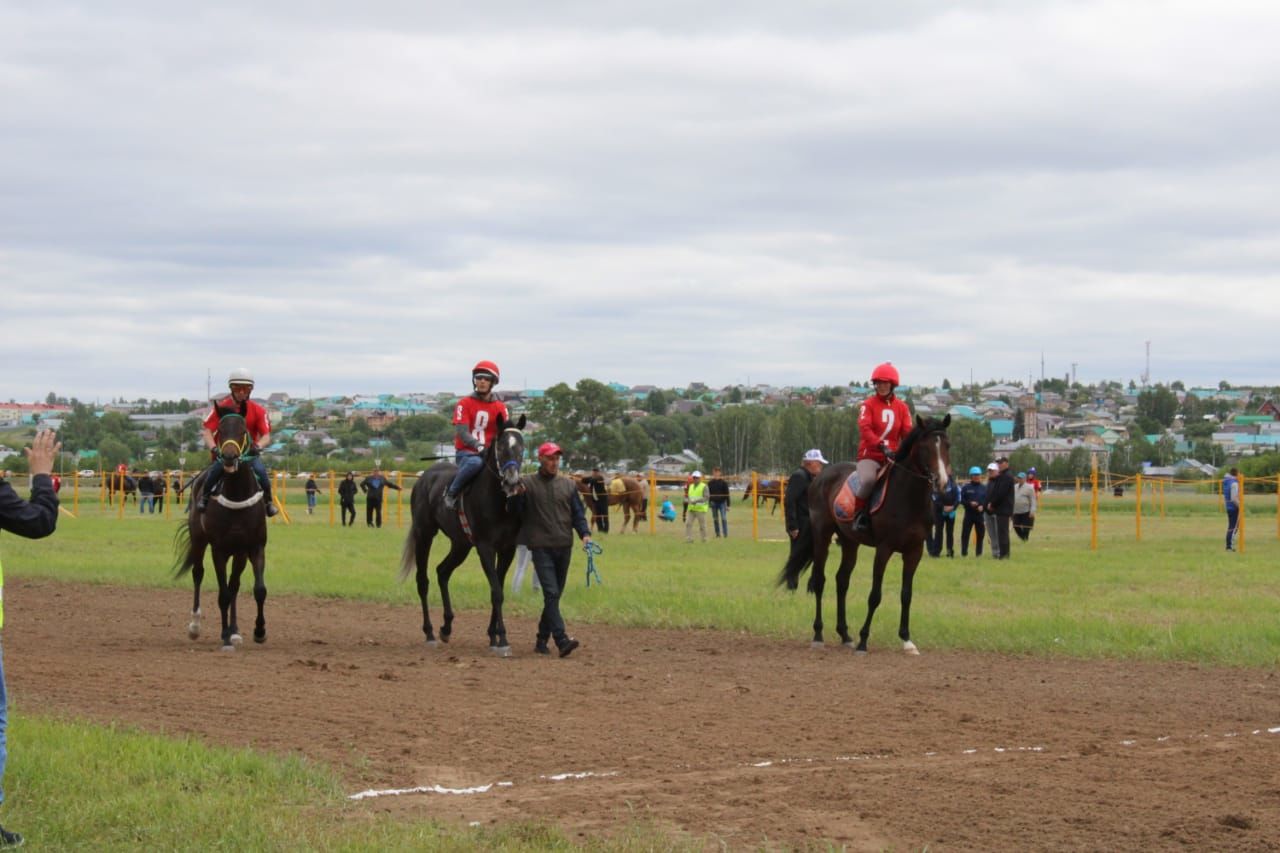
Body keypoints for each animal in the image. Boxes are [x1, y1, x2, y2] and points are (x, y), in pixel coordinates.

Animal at [171, 409, 268, 648]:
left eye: (243, 430)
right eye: (221, 430)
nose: (229, 457)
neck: (237, 495)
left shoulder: (253, 547)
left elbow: (257, 590)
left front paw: (258, 631)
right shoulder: (219, 550)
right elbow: (222, 593)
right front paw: (224, 636)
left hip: (239, 553)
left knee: (234, 585)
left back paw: (235, 630)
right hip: (199, 541)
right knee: (198, 574)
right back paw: (195, 626)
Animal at [394, 414, 524, 653]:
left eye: (521, 446)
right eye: (501, 447)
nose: (512, 481)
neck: (497, 501)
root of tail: (424, 477)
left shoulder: (507, 549)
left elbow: (498, 588)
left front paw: (493, 636)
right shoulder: (485, 548)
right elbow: (496, 592)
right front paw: (502, 639)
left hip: (461, 545)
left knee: (442, 571)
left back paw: (446, 627)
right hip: (425, 534)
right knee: (423, 580)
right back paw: (430, 633)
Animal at [778, 414, 952, 653]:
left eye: (947, 446)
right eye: (925, 447)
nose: (942, 481)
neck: (909, 498)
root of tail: (820, 477)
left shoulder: (914, 551)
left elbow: (906, 594)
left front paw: (907, 640)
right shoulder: (884, 549)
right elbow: (875, 596)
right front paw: (863, 640)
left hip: (850, 541)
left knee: (842, 580)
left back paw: (844, 634)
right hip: (822, 535)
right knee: (820, 580)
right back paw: (819, 635)